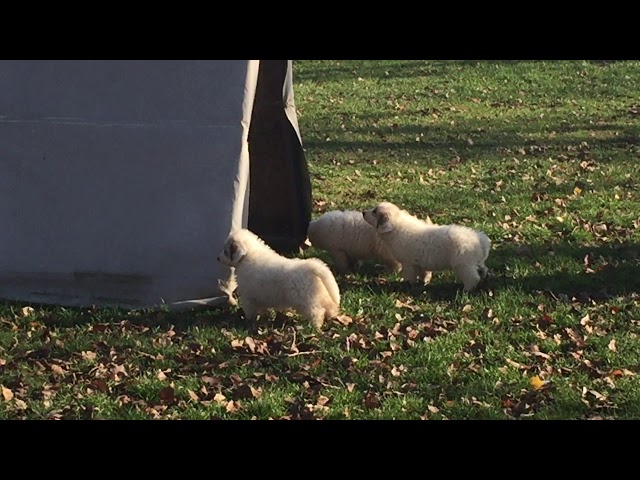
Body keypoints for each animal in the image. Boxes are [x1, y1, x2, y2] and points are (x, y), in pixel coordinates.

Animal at [306, 210, 436, 278]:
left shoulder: (338, 250)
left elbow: (342, 263)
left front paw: (342, 272)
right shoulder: (349, 250)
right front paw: (354, 267)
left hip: (387, 252)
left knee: (396, 265)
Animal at [362, 201, 492, 290]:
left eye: (374, 212)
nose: (363, 212)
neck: (397, 227)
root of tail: (481, 239)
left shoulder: (408, 264)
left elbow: (409, 276)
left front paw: (407, 285)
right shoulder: (419, 263)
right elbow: (423, 274)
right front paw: (423, 282)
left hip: (463, 265)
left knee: (473, 278)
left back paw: (466, 290)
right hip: (476, 262)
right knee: (483, 270)